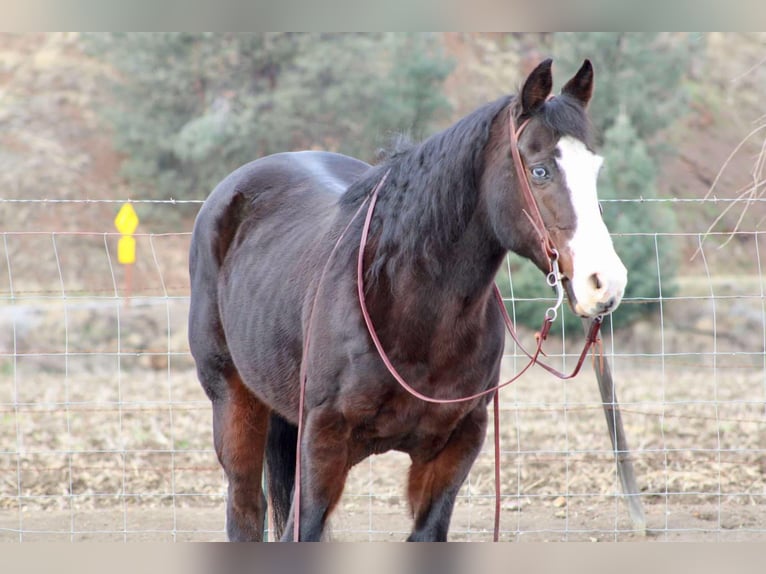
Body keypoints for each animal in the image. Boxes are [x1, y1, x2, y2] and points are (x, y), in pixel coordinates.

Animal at [188, 56, 632, 544]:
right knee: (245, 508)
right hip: (233, 399)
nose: (605, 283)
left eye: (595, 170)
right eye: (540, 170)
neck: (410, 308)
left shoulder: (453, 451)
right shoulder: (322, 445)